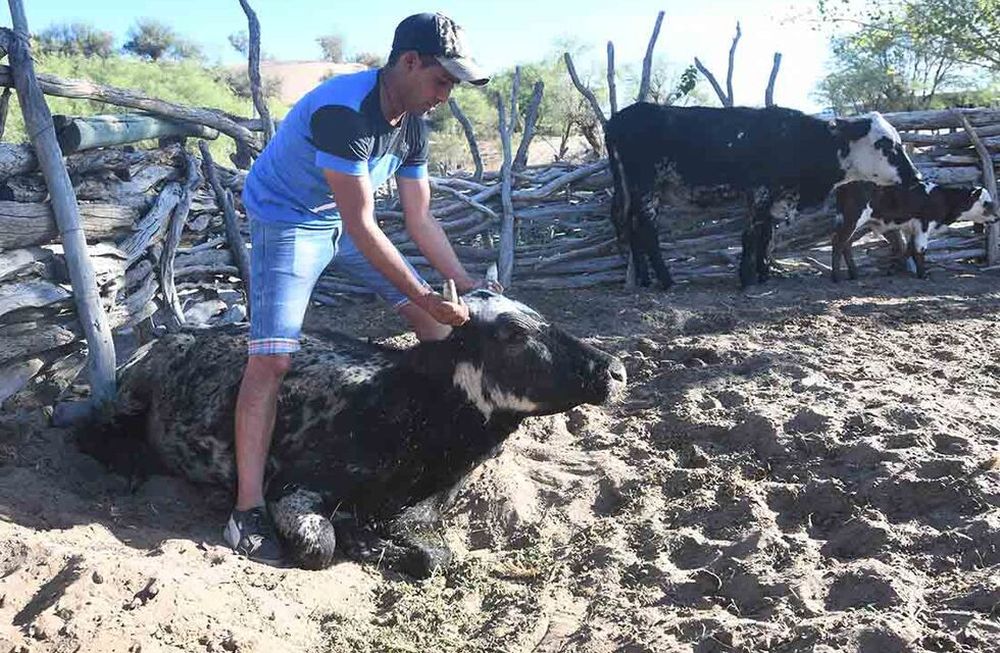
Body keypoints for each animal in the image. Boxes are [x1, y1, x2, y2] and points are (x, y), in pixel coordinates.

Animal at [79, 288, 627, 577]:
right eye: (511, 333)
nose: (615, 370)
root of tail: (174, 335)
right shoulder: (293, 490)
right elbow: (320, 547)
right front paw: (356, 540)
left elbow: (436, 555)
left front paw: (368, 541)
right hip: (128, 397)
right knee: (91, 429)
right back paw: (131, 465)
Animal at [604, 103, 922, 289]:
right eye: (884, 144)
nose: (916, 176)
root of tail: (619, 118)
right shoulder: (759, 193)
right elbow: (750, 235)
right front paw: (746, 278)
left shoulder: (775, 199)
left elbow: (765, 236)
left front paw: (763, 274)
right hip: (646, 188)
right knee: (647, 231)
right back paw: (666, 280)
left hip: (634, 191)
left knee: (632, 229)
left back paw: (643, 279)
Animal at [831, 181, 996, 281]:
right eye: (986, 203)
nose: (997, 218)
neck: (943, 199)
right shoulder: (924, 226)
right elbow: (919, 250)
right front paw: (923, 275)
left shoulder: (912, 229)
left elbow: (908, 249)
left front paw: (893, 270)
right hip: (853, 219)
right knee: (838, 243)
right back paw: (836, 277)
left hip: (857, 224)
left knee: (846, 244)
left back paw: (854, 274)